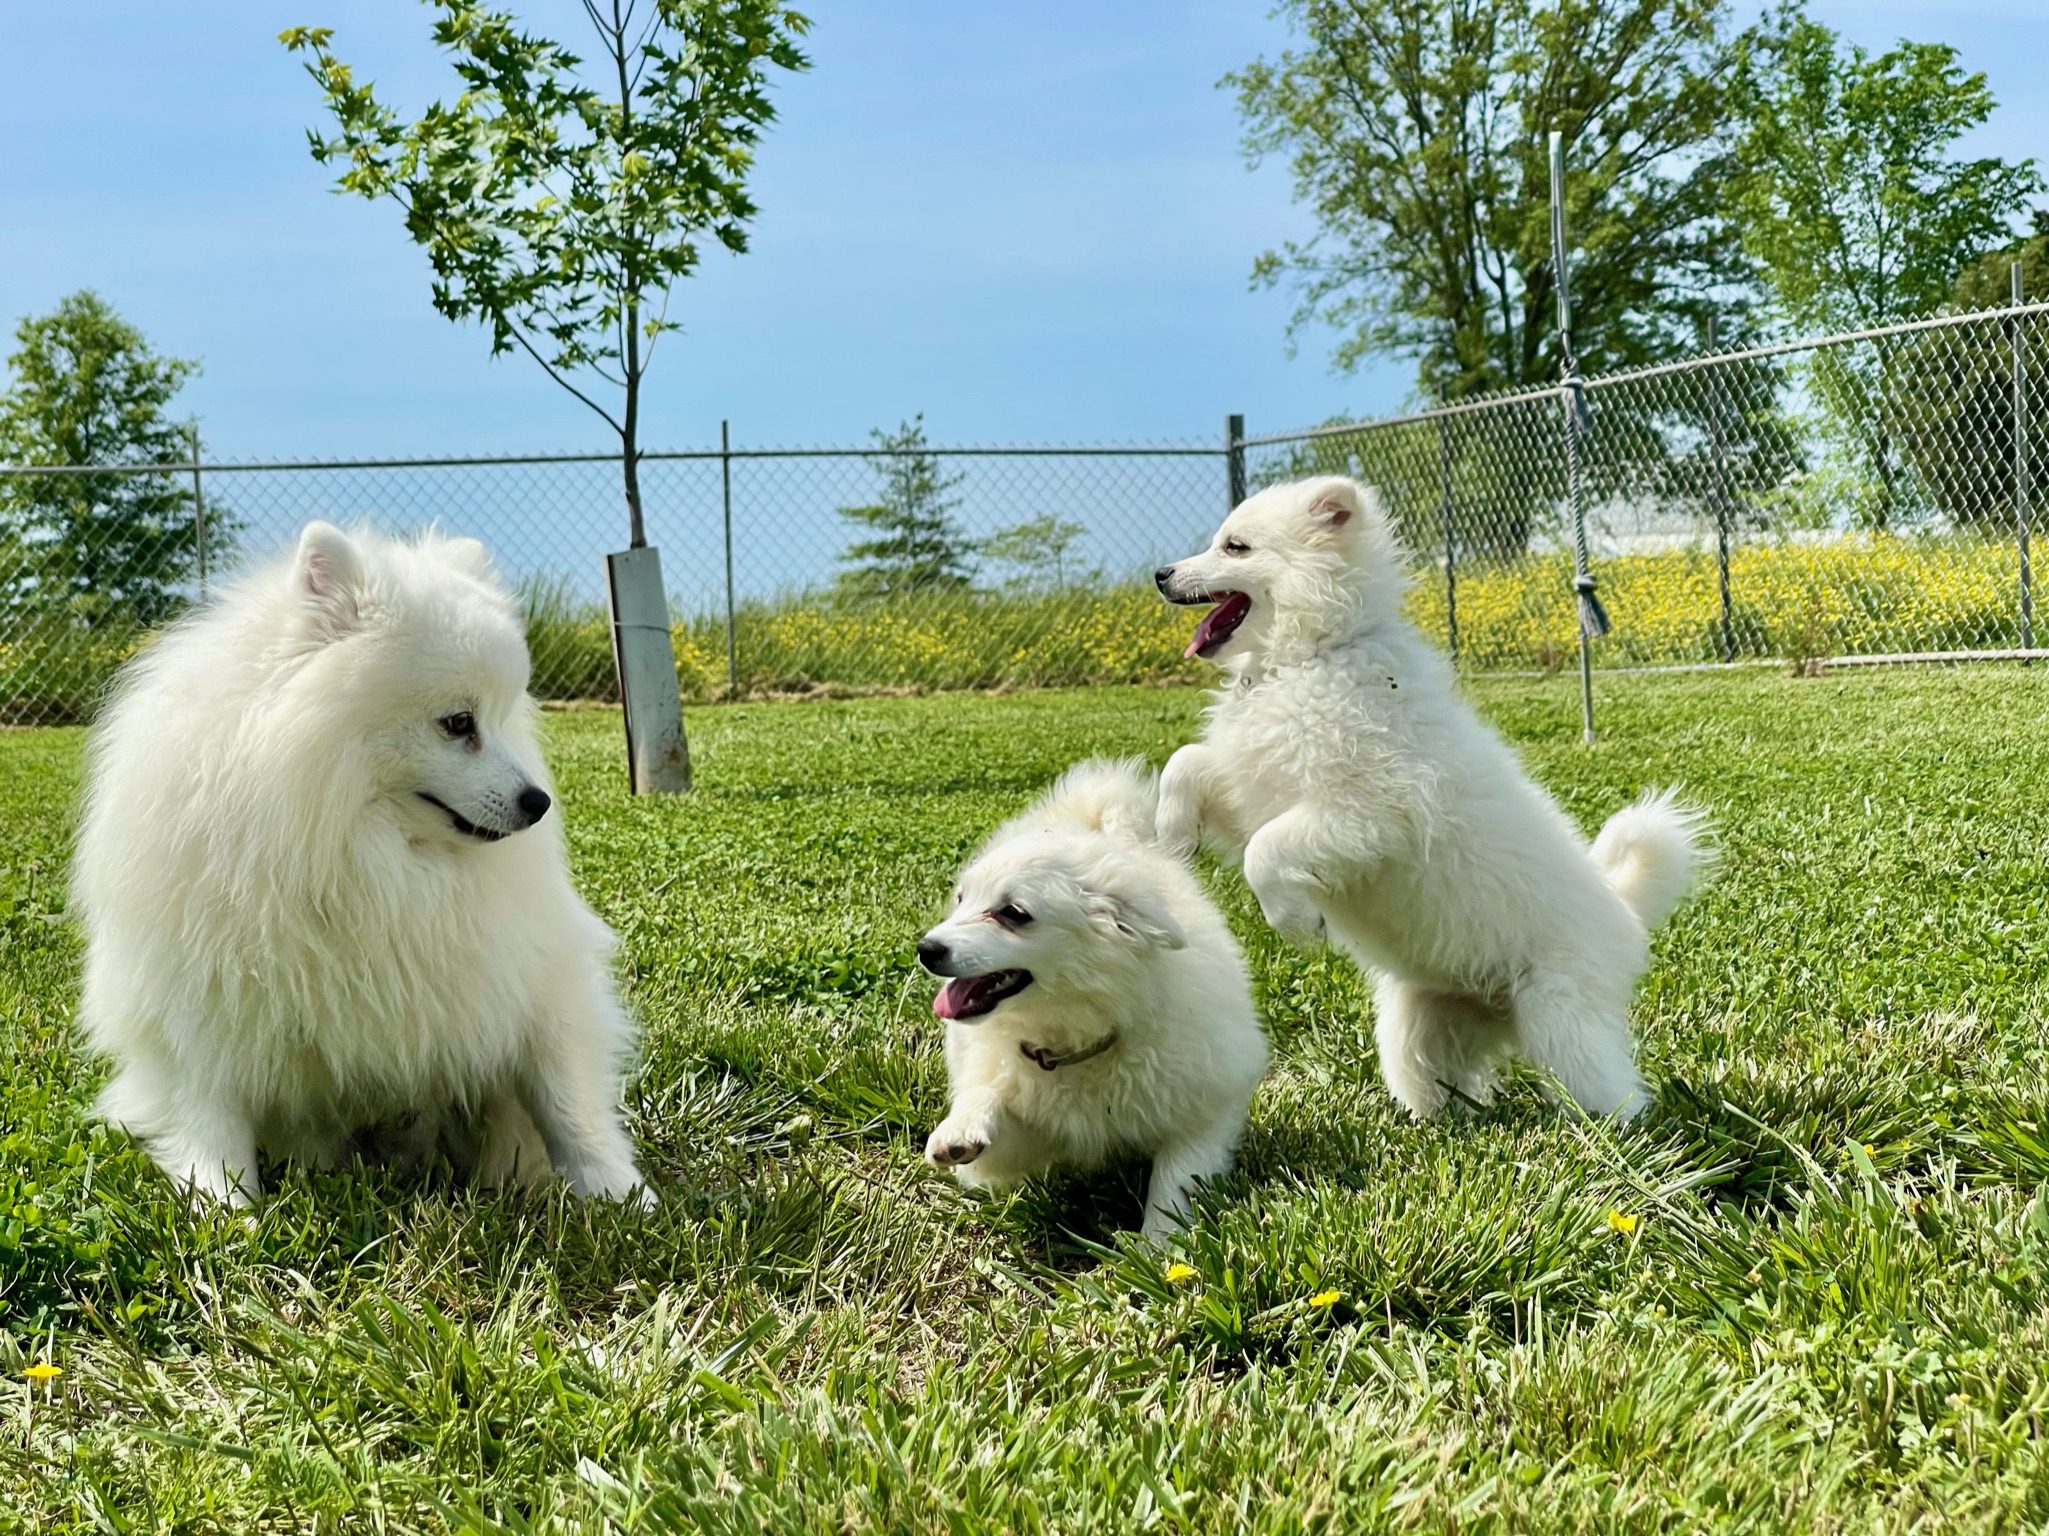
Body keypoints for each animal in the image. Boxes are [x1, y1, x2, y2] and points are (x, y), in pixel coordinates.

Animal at [74, 524, 647, 1212]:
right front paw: (224, 1209)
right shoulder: (206, 1003)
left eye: (503, 717)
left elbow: (563, 1096)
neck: (362, 852)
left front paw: (617, 1191)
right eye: (459, 723)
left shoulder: (530, 971)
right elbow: (212, 1116)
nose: (538, 802)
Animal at [917, 765, 1262, 1245]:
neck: (1075, 1039)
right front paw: (960, 1127)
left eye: (1014, 913)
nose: (926, 949)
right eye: (962, 899)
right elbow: (989, 1104)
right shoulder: (1023, 1134)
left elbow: (1174, 1182)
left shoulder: (1204, 1111)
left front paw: (1156, 1249)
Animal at [1155, 475, 1712, 1122]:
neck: (1310, 657)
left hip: (1562, 1017)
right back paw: (1432, 1122)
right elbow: (1187, 765)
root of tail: (1625, 910)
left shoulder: (1367, 813)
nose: (1161, 574)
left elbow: (1264, 852)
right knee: (1441, 1084)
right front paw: (1171, 839)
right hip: (1414, 1025)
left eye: (1235, 547)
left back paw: (1622, 1131)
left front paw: (1296, 923)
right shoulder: (1253, 789)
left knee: (1615, 1092)